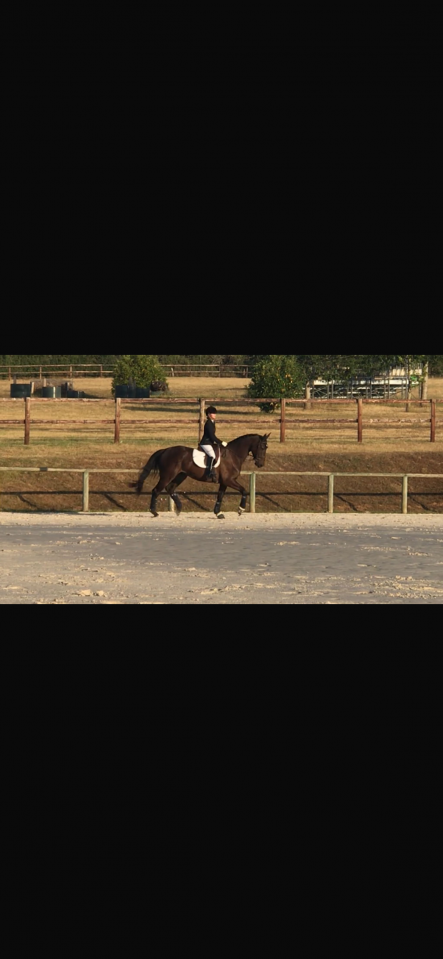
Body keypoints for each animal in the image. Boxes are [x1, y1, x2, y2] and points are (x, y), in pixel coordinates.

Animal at [133, 433, 270, 517]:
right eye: (263, 447)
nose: (260, 464)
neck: (233, 454)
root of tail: (165, 450)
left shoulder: (224, 482)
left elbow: (220, 496)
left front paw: (218, 513)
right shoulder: (229, 480)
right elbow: (244, 490)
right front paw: (240, 509)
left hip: (181, 475)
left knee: (170, 488)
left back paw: (179, 508)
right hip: (167, 475)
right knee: (156, 490)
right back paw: (154, 512)